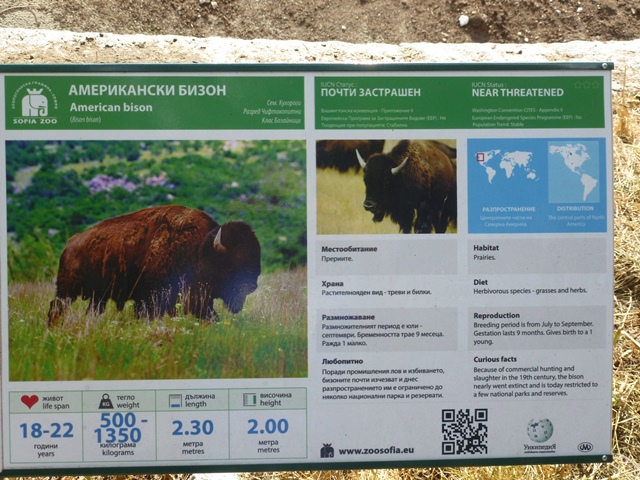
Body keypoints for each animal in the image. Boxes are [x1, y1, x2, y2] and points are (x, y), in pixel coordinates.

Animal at [47, 205, 261, 326]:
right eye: (233, 263)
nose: (251, 286)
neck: (200, 250)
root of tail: (70, 243)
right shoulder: (152, 299)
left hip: (97, 297)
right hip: (66, 291)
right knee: (56, 308)